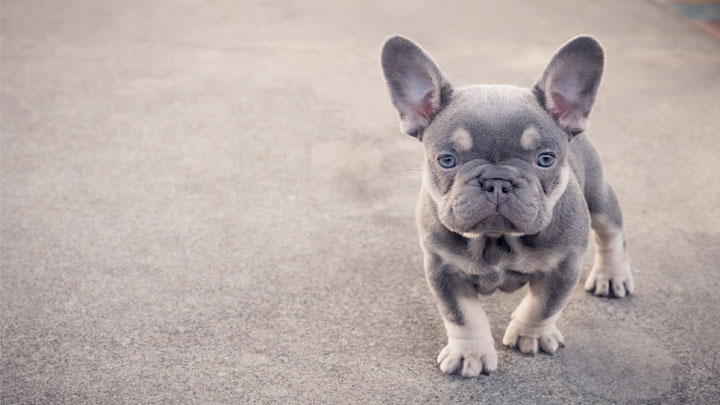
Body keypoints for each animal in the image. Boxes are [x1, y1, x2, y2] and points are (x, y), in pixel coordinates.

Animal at [380, 36, 632, 378]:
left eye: (545, 159)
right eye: (447, 160)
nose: (497, 181)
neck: (497, 239)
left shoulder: (564, 265)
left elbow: (544, 306)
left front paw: (531, 335)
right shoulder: (443, 269)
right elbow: (462, 316)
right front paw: (469, 353)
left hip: (597, 194)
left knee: (611, 231)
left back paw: (612, 275)